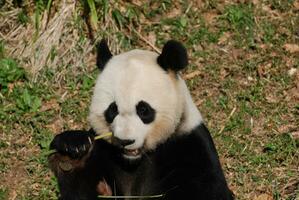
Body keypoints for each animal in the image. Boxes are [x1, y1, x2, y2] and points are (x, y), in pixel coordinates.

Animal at [48, 39, 234, 199]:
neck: (133, 161)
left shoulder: (191, 146)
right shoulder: (105, 153)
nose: (125, 141)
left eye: (144, 110)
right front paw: (73, 152)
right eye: (112, 109)